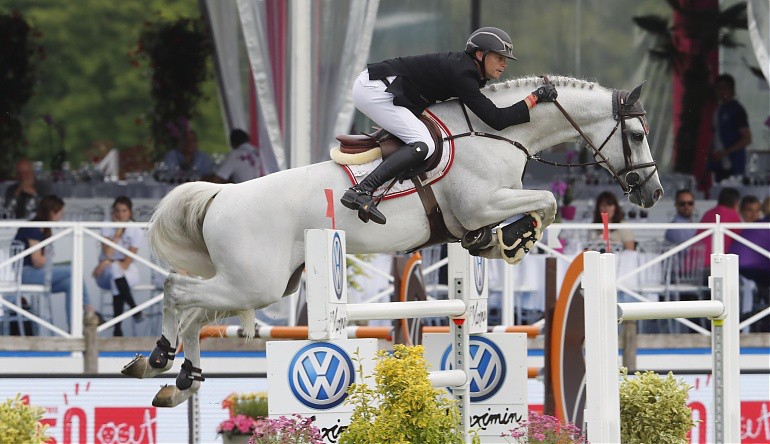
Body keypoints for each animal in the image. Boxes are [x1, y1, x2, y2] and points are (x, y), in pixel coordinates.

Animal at [121, 75, 660, 406]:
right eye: (636, 134)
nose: (651, 192)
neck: (495, 132)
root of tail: (220, 196)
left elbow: (540, 204)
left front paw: (497, 242)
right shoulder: (481, 203)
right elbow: (545, 201)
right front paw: (511, 239)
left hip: (260, 286)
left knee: (195, 314)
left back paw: (179, 381)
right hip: (254, 283)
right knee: (176, 291)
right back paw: (158, 358)